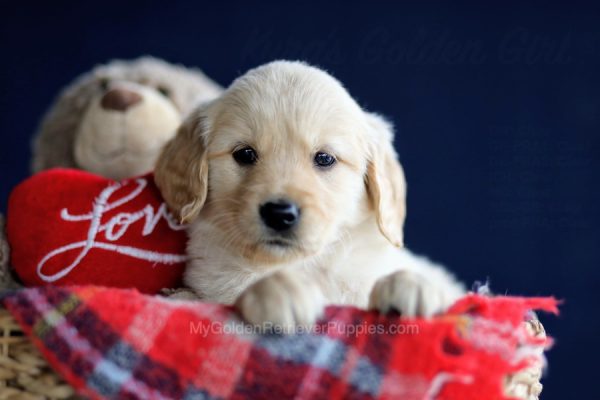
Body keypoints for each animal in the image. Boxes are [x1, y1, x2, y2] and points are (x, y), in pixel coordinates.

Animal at [154, 61, 464, 332]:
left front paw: (411, 285)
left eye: (325, 158)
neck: (305, 266)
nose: (280, 214)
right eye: (244, 154)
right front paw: (280, 291)